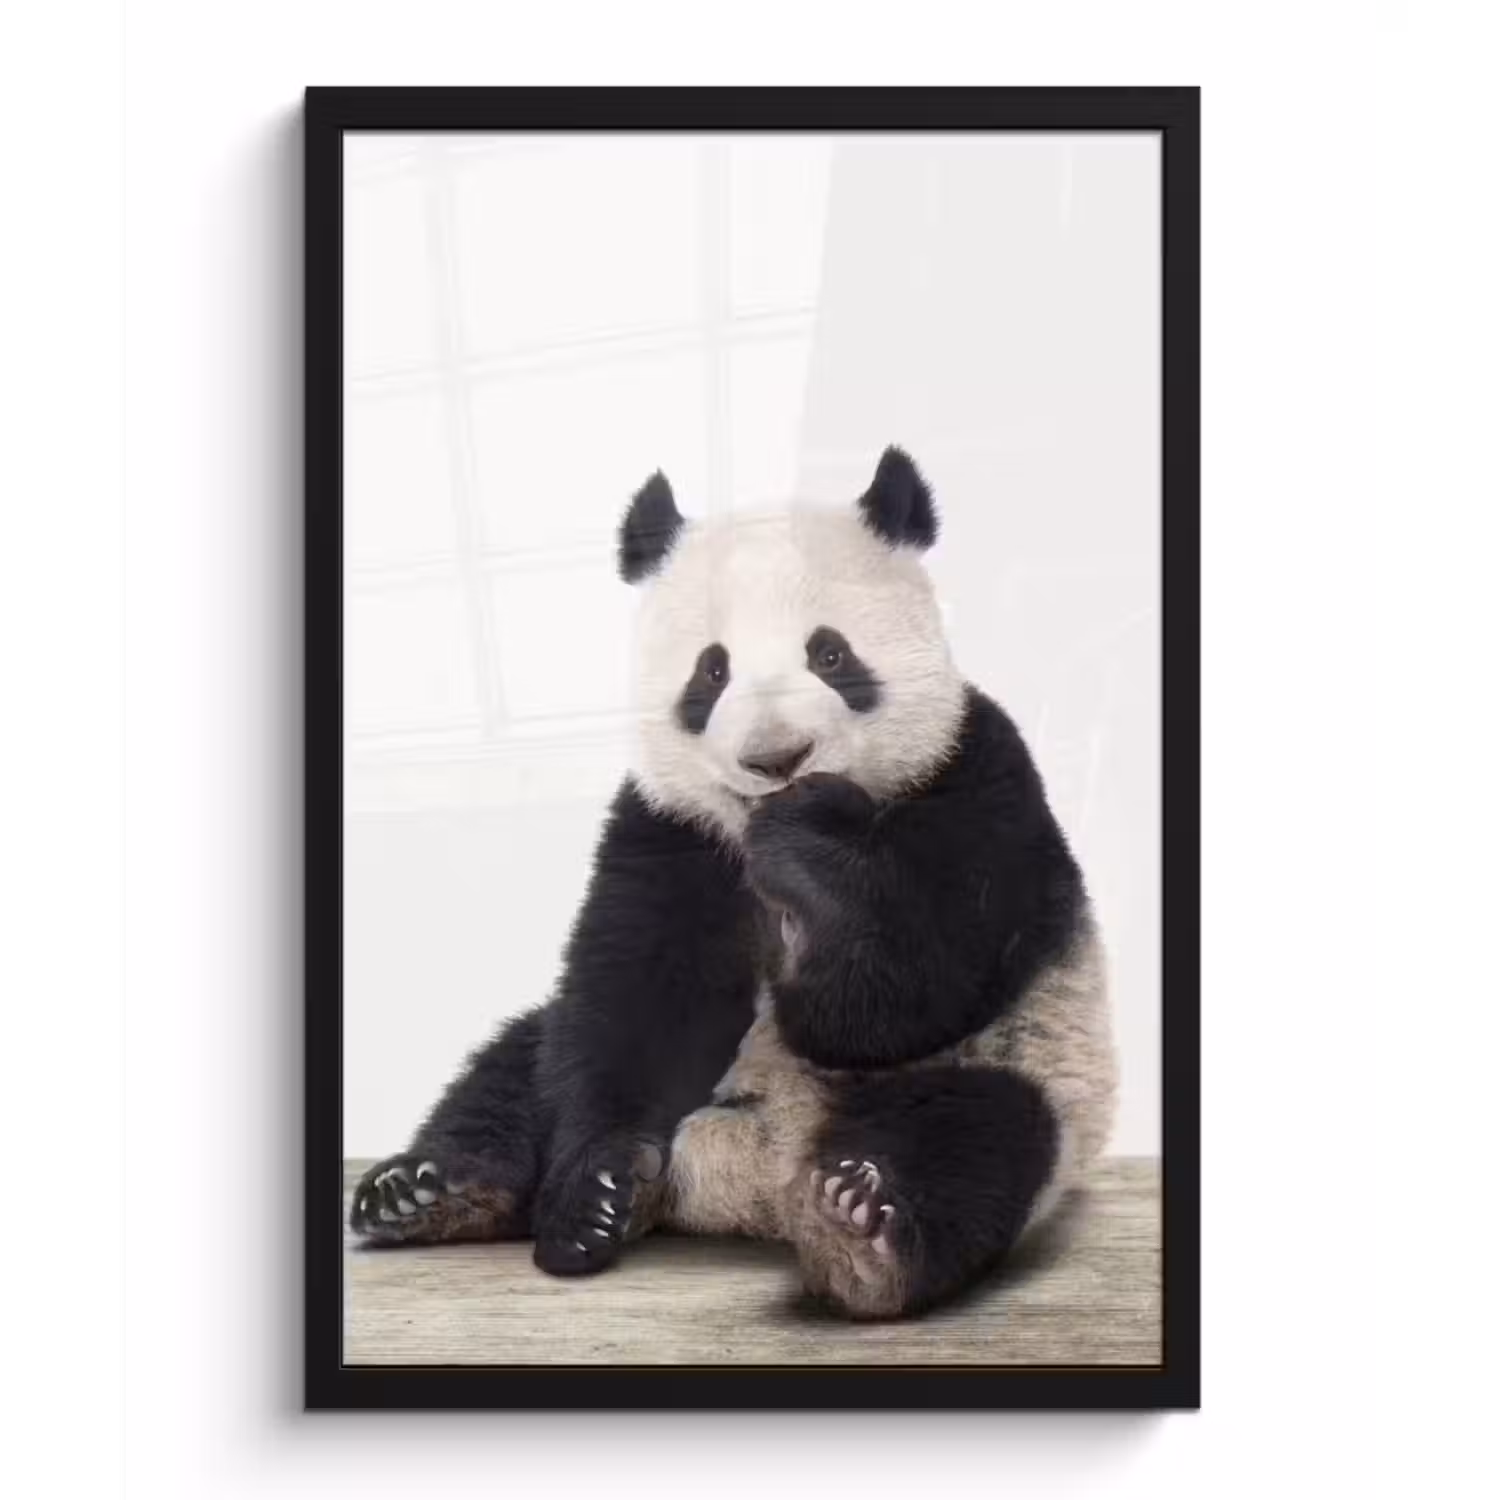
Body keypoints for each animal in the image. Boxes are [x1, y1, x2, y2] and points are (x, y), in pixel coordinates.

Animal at [350, 446, 1116, 1319]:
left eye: (830, 654)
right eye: (710, 672)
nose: (777, 758)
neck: (750, 833)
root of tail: (753, 1181)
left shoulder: (976, 774)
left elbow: (906, 990)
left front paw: (812, 842)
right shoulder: (669, 829)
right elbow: (638, 1001)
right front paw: (596, 1195)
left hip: (1026, 1067)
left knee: (977, 1136)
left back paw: (861, 1229)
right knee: (517, 1065)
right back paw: (432, 1191)